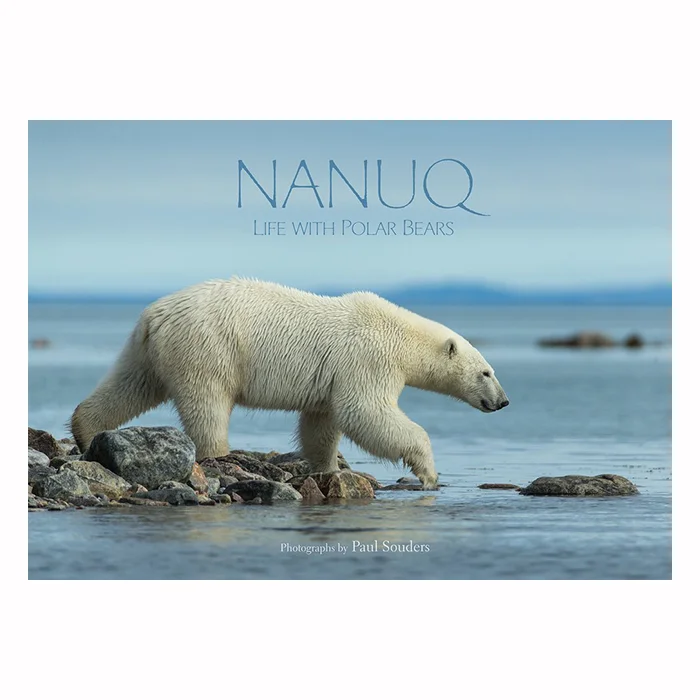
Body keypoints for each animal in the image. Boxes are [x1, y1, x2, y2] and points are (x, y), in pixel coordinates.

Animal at [71, 278, 509, 489]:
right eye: (486, 372)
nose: (503, 401)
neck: (400, 335)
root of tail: (155, 314)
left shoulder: (333, 376)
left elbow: (322, 422)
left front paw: (329, 469)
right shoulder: (367, 359)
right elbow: (366, 412)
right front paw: (429, 473)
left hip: (150, 349)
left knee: (132, 384)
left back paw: (85, 430)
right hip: (208, 347)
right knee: (207, 403)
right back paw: (221, 457)